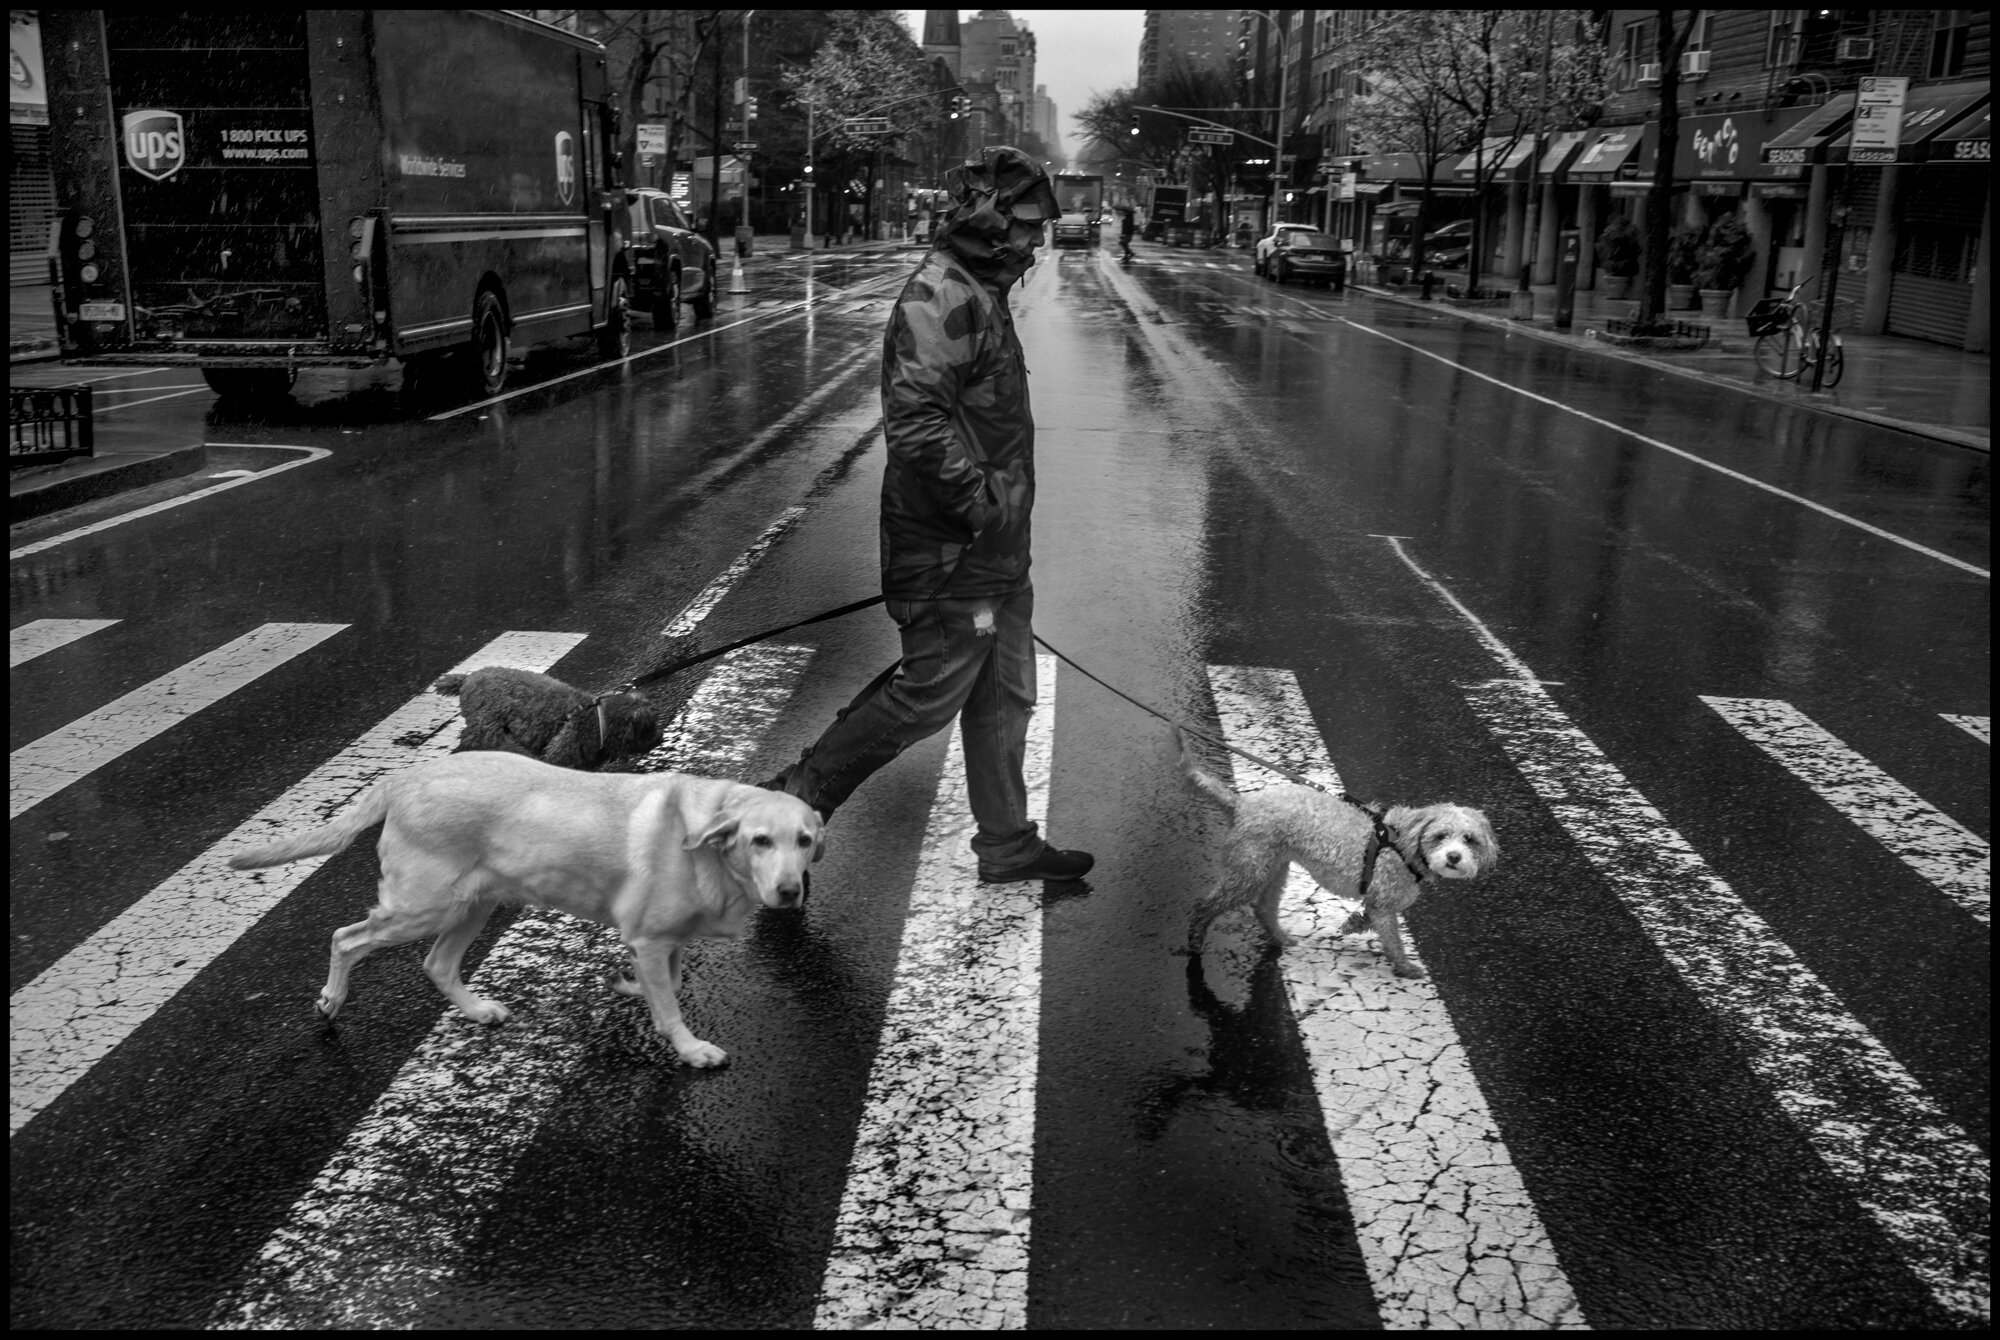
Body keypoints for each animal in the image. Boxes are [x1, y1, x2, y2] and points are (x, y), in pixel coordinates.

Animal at [230, 756, 824, 1072]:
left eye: (805, 840)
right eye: (760, 841)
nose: (790, 892)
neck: (707, 842)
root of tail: (404, 779)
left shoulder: (660, 941)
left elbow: (669, 983)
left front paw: (628, 985)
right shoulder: (651, 938)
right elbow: (671, 1007)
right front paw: (691, 1049)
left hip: (473, 905)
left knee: (437, 965)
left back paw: (476, 1011)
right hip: (422, 908)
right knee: (345, 937)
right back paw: (331, 1001)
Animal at [434, 668, 660, 772]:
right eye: (648, 728)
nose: (659, 740)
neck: (598, 718)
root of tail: (467, 679)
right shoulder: (561, 752)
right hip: (486, 728)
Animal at [1176, 736, 1496, 976]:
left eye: (1469, 839)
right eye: (1441, 836)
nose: (1453, 857)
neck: (1402, 844)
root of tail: (1241, 804)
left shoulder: (1379, 903)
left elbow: (1370, 920)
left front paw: (1353, 924)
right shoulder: (1384, 903)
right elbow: (1393, 940)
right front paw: (1404, 967)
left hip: (1273, 868)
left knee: (1263, 908)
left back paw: (1281, 938)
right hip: (1249, 871)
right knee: (1206, 906)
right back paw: (1195, 941)